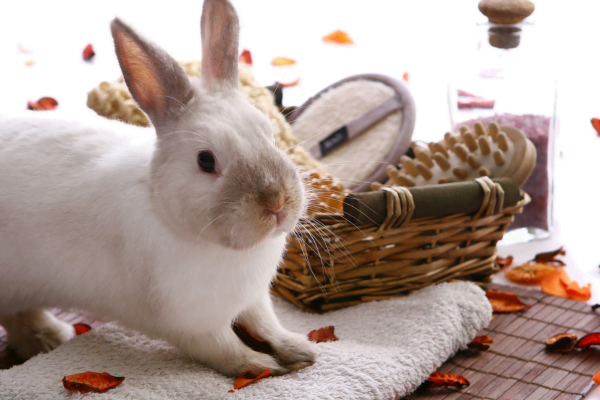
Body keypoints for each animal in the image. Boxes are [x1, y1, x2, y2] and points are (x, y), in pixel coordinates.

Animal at [0, 0, 318, 376]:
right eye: (206, 161)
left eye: (270, 135)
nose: (277, 203)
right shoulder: (193, 323)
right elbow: (225, 349)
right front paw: (260, 365)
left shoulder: (254, 299)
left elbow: (267, 326)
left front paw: (300, 350)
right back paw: (51, 337)